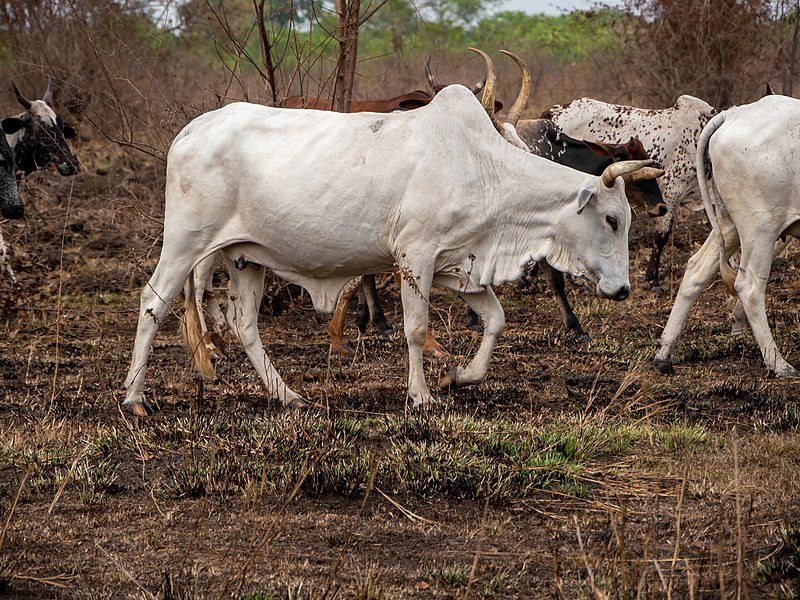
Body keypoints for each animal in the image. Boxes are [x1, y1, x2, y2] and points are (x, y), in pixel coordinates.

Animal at [120, 81, 656, 418]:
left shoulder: (459, 267)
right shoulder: (415, 258)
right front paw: (422, 396)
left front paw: (459, 377)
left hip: (245, 257)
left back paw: (288, 396)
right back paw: (134, 398)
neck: (483, 169)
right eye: (612, 219)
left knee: (246, 325)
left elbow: (496, 320)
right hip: (186, 243)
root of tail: (192, 129)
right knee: (153, 304)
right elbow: (416, 330)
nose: (622, 289)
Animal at [652, 94, 800, 376]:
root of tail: (733, 114)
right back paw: (778, 364)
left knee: (696, 269)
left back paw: (664, 353)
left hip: (728, 224)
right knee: (749, 286)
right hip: (760, 228)